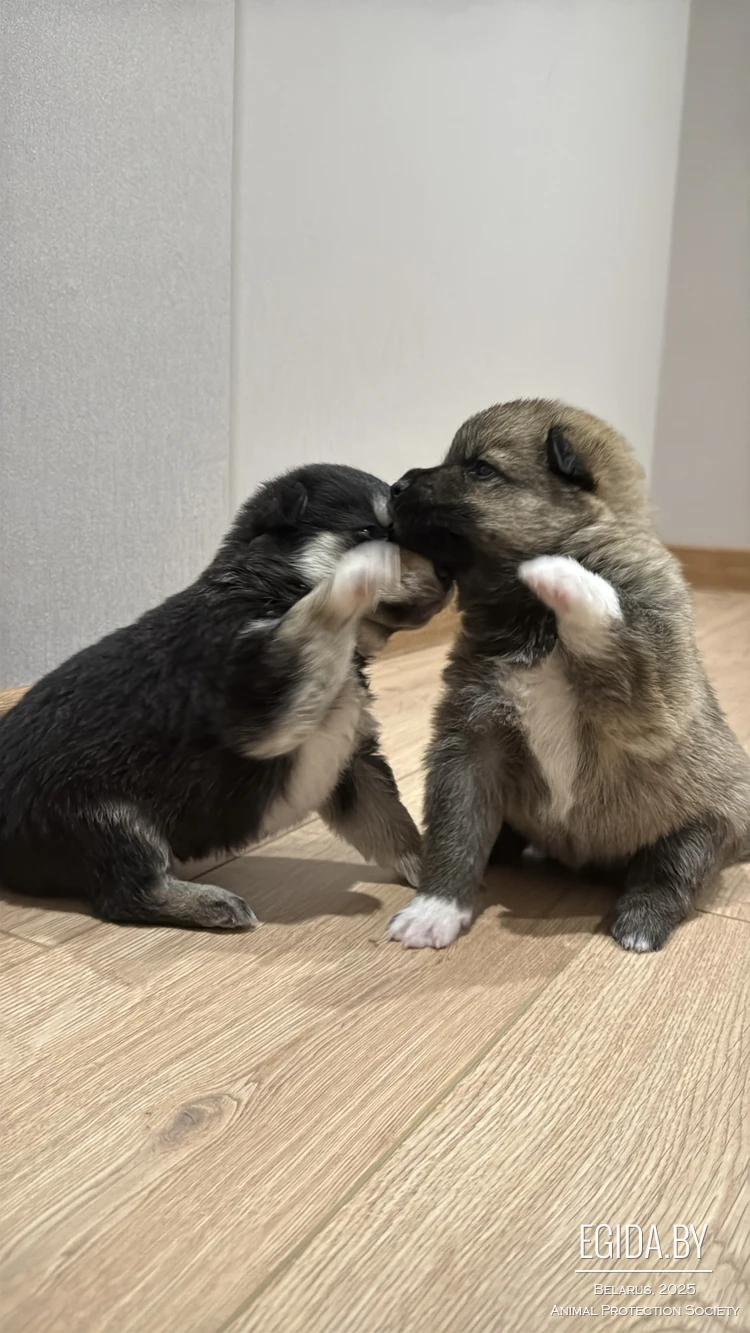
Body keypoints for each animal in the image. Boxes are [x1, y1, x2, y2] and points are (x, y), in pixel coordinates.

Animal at [0, 464, 451, 929]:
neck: (272, 588)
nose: (449, 572)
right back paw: (215, 903)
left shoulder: (352, 757)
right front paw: (367, 563)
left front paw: (434, 877)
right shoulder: (257, 699)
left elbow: (391, 821)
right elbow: (321, 609)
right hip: (103, 817)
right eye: (370, 530)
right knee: (128, 891)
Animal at [388, 398, 750, 952]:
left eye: (480, 469)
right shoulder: (472, 741)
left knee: (670, 874)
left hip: (703, 824)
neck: (529, 618)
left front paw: (558, 571)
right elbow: (458, 829)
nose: (395, 485)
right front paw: (435, 908)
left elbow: (611, 621)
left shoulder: (654, 704)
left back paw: (640, 923)